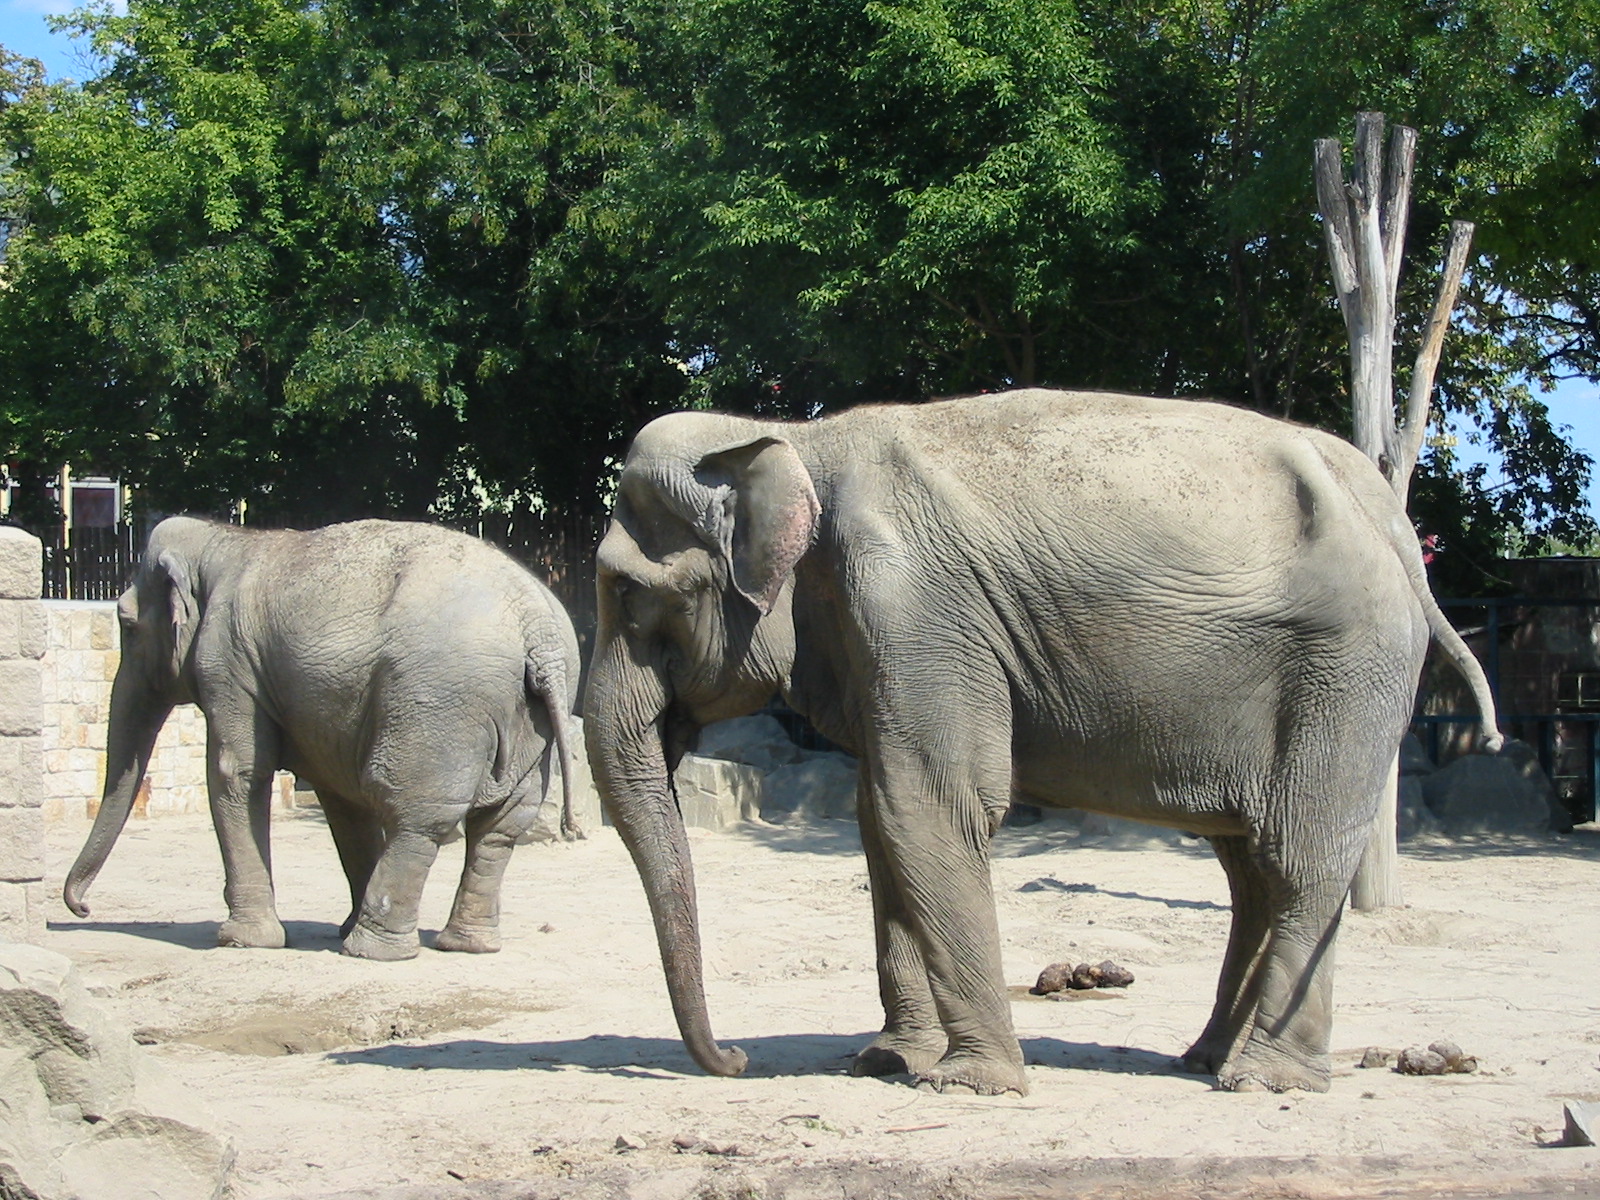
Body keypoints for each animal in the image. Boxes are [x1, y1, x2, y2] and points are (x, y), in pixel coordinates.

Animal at [63, 516, 581, 961]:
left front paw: (243, 940)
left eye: (126, 623)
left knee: (417, 817)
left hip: (440, 706)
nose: (83, 908)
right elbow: (342, 802)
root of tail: (539, 632)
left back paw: (371, 951)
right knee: (500, 827)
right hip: (524, 723)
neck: (224, 540)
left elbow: (237, 773)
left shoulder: (228, 662)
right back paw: (464, 945)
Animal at [583, 387, 1501, 1097]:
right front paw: (886, 1062)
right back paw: (1206, 1059)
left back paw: (1263, 1079)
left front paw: (969, 1085)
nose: (735, 1059)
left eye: (627, 594)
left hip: (1350, 666)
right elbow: (880, 819)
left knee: (1299, 855)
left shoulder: (914, 603)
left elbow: (927, 808)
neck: (794, 437)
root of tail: (1386, 507)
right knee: (1251, 867)